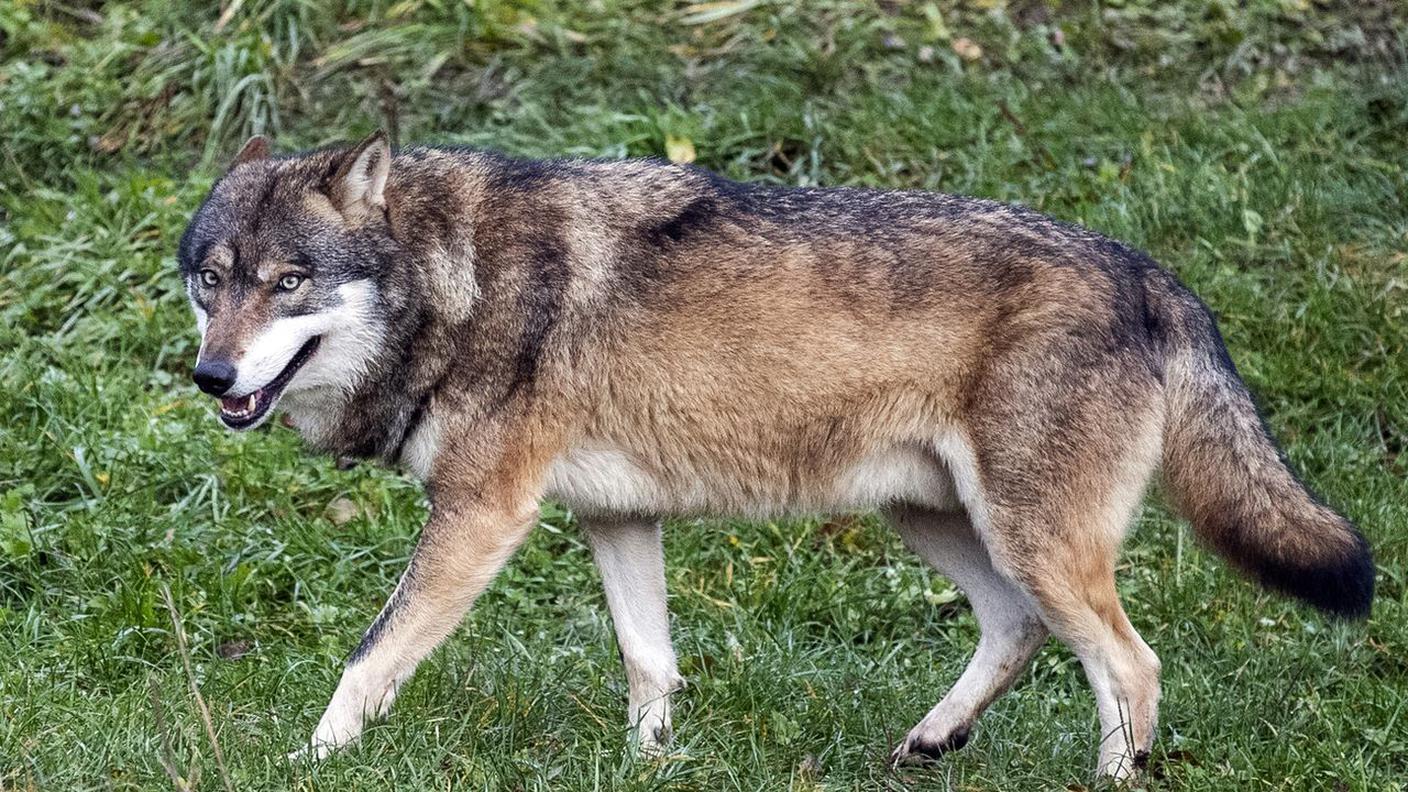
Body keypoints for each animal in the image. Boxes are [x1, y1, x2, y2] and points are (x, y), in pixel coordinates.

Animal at [178, 131, 1374, 777]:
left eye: (288, 282)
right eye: (210, 280)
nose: (212, 377)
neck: (451, 283)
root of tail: (1151, 271)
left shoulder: (481, 515)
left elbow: (368, 656)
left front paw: (309, 764)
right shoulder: (615, 516)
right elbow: (649, 660)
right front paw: (650, 767)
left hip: (1028, 538)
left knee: (1131, 665)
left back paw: (1104, 779)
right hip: (941, 524)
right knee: (1019, 630)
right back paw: (927, 743)